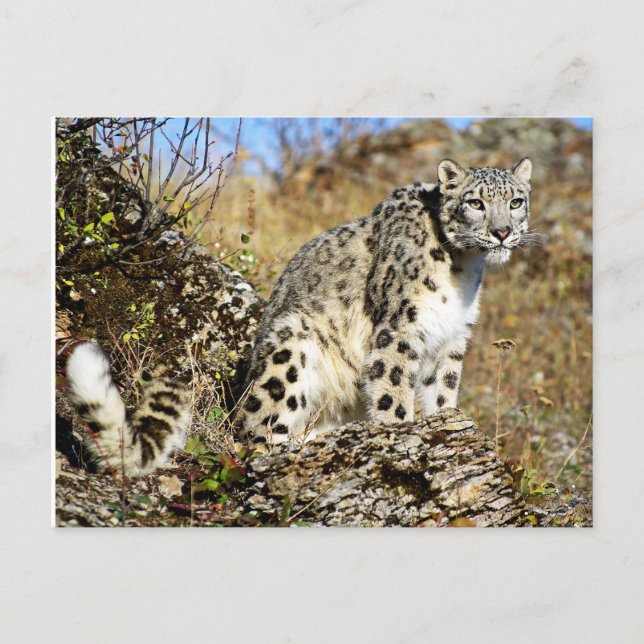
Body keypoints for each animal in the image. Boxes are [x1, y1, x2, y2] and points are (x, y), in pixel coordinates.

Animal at [236, 157, 536, 450]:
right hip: (290, 343)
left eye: (515, 202)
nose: (502, 232)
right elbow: (393, 386)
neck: (463, 266)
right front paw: (399, 430)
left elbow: (443, 387)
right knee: (255, 426)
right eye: (475, 203)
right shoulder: (401, 327)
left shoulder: (450, 335)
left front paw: (447, 419)